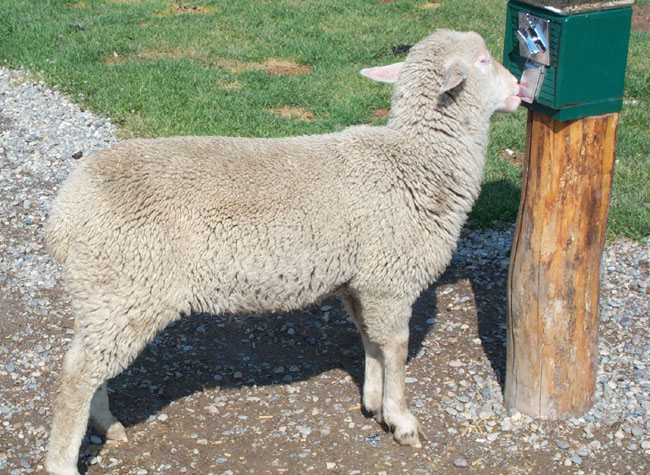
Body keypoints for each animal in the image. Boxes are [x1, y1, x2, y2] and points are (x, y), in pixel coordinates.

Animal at [44, 29, 521, 474]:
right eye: (483, 60)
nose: (519, 87)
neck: (415, 162)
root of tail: (65, 213)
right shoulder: (390, 278)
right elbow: (397, 348)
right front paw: (401, 419)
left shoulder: (359, 281)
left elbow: (370, 340)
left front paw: (372, 401)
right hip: (131, 285)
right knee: (77, 373)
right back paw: (63, 460)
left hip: (104, 291)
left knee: (87, 359)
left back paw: (106, 424)